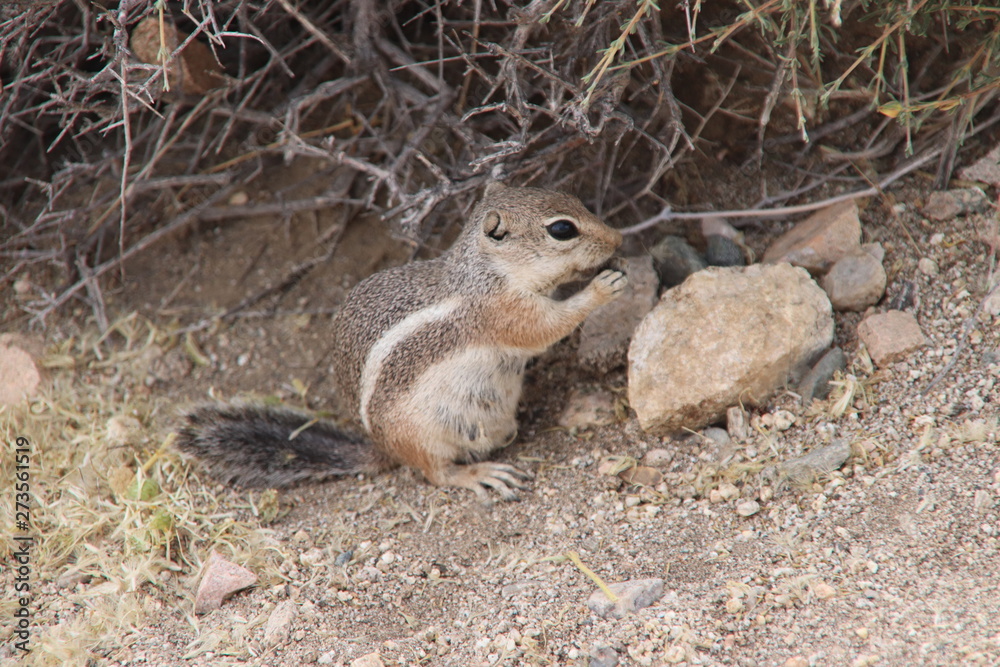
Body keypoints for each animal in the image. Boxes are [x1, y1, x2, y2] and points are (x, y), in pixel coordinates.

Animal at [176, 182, 627, 501]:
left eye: (576, 200)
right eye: (562, 229)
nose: (618, 238)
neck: (486, 271)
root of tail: (383, 448)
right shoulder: (502, 311)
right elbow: (545, 329)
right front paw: (601, 288)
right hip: (420, 434)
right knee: (437, 473)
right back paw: (478, 474)